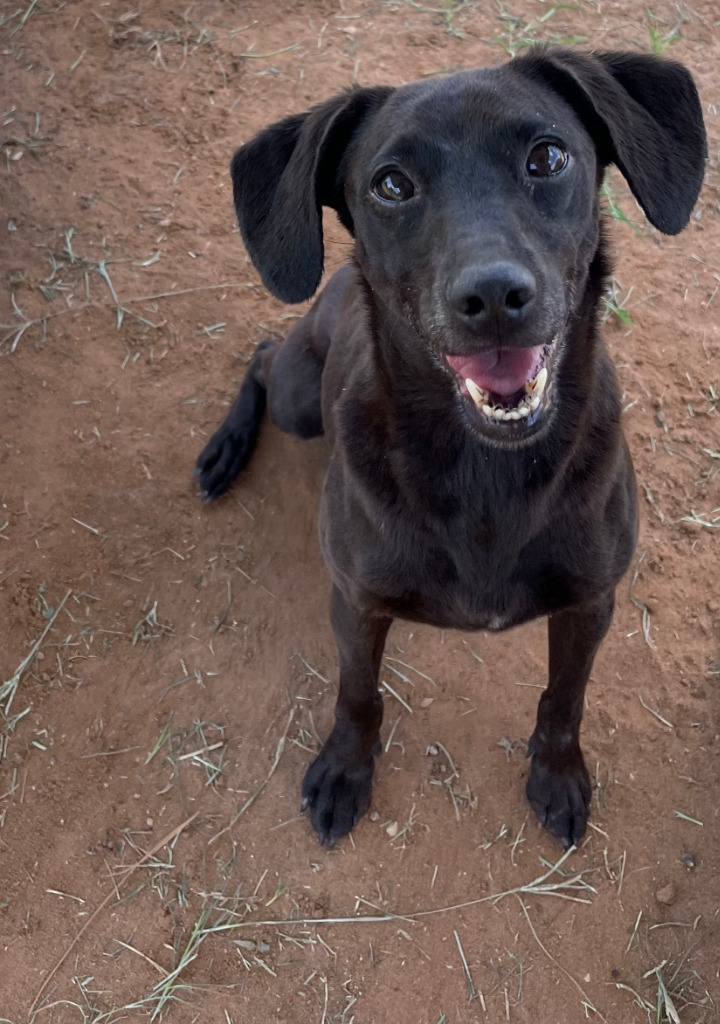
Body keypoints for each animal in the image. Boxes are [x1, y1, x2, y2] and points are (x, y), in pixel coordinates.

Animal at [195, 48, 704, 847]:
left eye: (547, 156)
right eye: (392, 184)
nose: (493, 296)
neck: (485, 471)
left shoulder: (591, 602)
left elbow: (564, 700)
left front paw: (556, 777)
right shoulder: (357, 603)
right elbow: (357, 695)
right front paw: (345, 772)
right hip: (299, 398)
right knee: (262, 353)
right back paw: (225, 451)